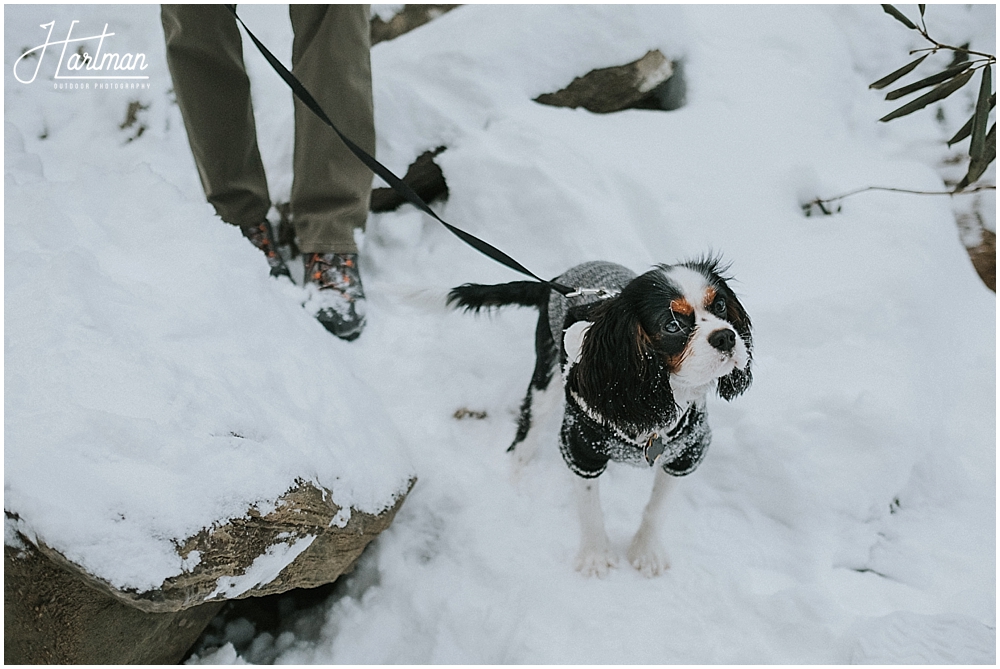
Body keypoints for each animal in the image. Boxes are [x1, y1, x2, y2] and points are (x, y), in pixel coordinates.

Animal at [450, 258, 752, 576]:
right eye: (672, 325)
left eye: (720, 305)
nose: (726, 336)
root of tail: (557, 280)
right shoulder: (580, 448)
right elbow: (590, 507)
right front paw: (595, 556)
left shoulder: (688, 452)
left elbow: (657, 508)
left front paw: (645, 552)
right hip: (545, 377)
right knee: (524, 439)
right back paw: (516, 482)